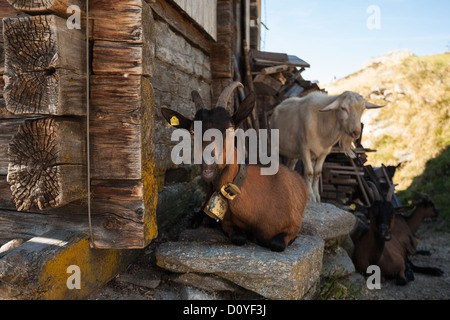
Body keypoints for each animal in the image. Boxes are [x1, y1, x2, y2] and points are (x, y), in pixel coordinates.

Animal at [160, 81, 308, 251]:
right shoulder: (228, 222)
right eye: (192, 131)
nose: (208, 163)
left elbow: (277, 243)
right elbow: (238, 237)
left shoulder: (294, 225)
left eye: (230, 129)